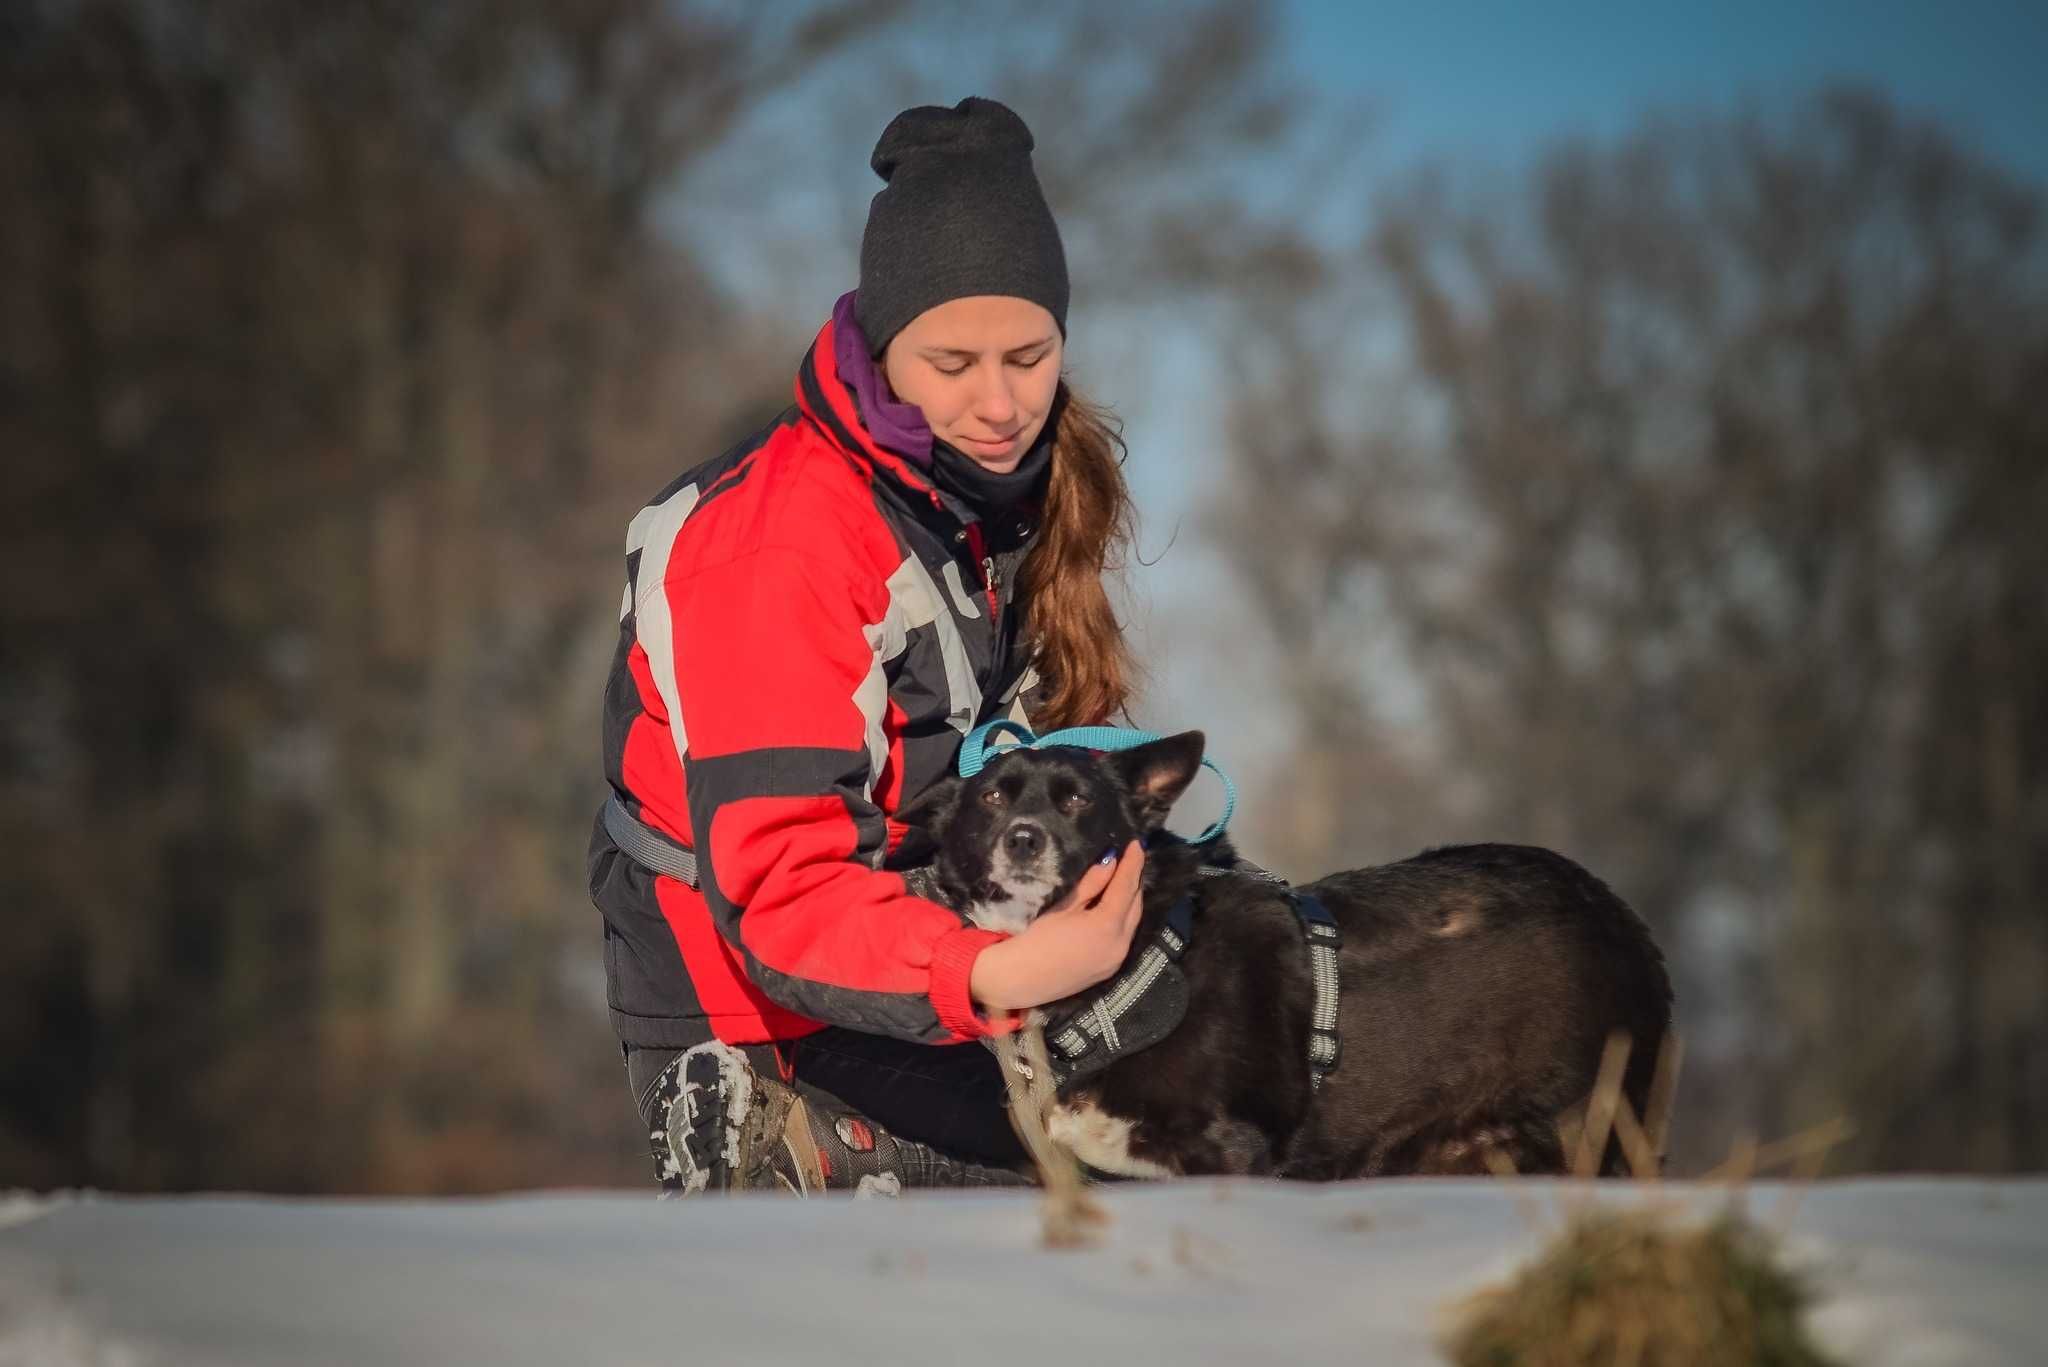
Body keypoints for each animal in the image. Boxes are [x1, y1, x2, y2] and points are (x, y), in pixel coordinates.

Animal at [897, 733, 1679, 1180]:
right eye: (992, 798)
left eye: (1078, 801)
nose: (1025, 839)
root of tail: (1625, 920)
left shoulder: (1233, 1153)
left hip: (1590, 1128)